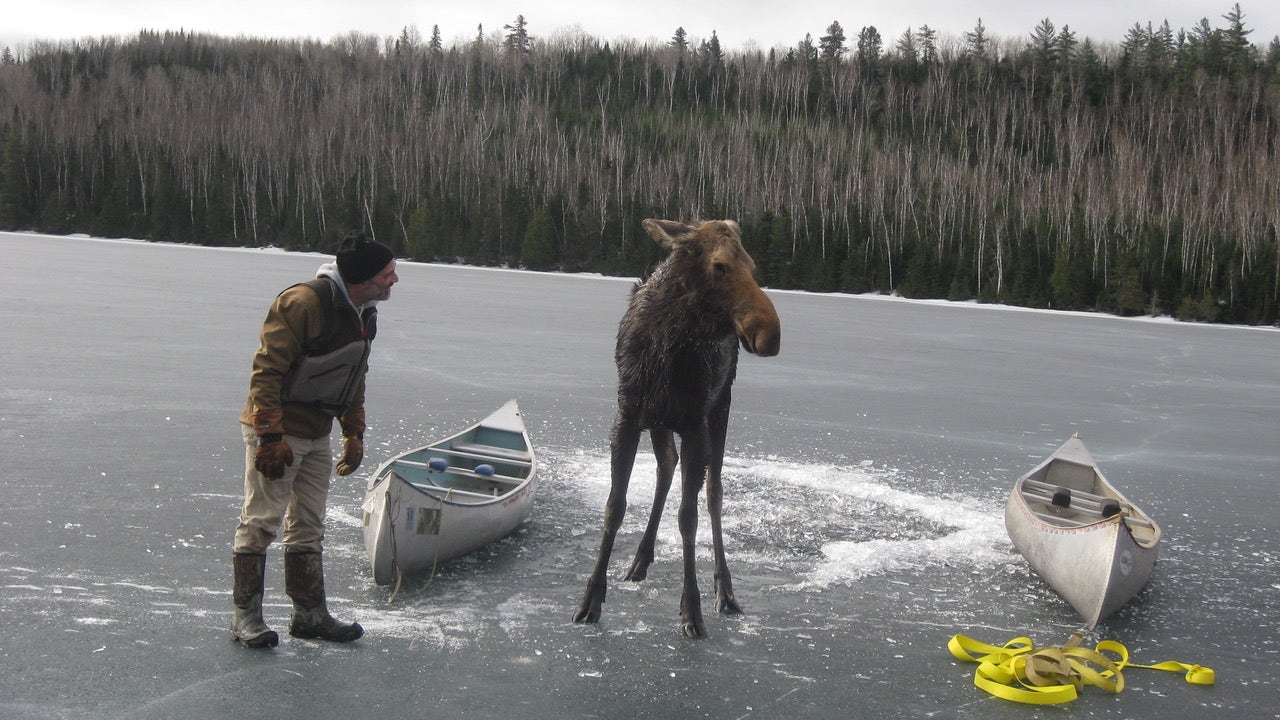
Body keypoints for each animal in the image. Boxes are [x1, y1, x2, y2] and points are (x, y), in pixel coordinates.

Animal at [578, 219, 778, 632]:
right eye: (720, 265)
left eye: (752, 266)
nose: (768, 331)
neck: (666, 348)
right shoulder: (628, 416)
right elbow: (614, 506)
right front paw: (591, 598)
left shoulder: (694, 423)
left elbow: (689, 516)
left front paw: (692, 609)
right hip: (661, 421)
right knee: (666, 468)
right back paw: (640, 559)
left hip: (720, 407)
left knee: (714, 491)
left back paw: (725, 590)